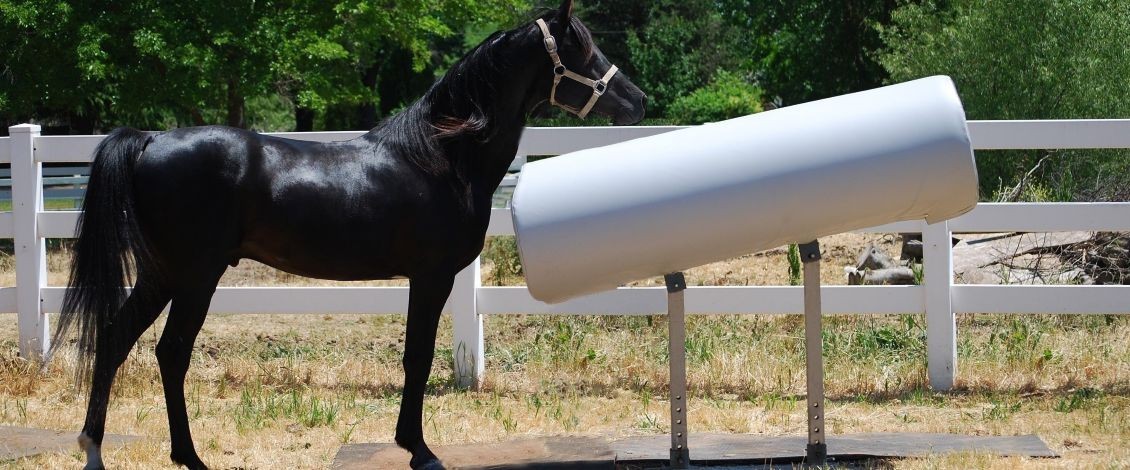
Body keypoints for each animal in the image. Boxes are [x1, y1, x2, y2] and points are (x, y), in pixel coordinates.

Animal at [50, 1, 646, 468]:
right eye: (581, 51)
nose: (636, 100)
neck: (442, 158)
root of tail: (149, 139)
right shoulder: (431, 276)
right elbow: (417, 357)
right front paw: (419, 450)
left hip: (163, 273)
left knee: (115, 338)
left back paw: (95, 449)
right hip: (195, 275)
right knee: (171, 352)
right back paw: (190, 458)